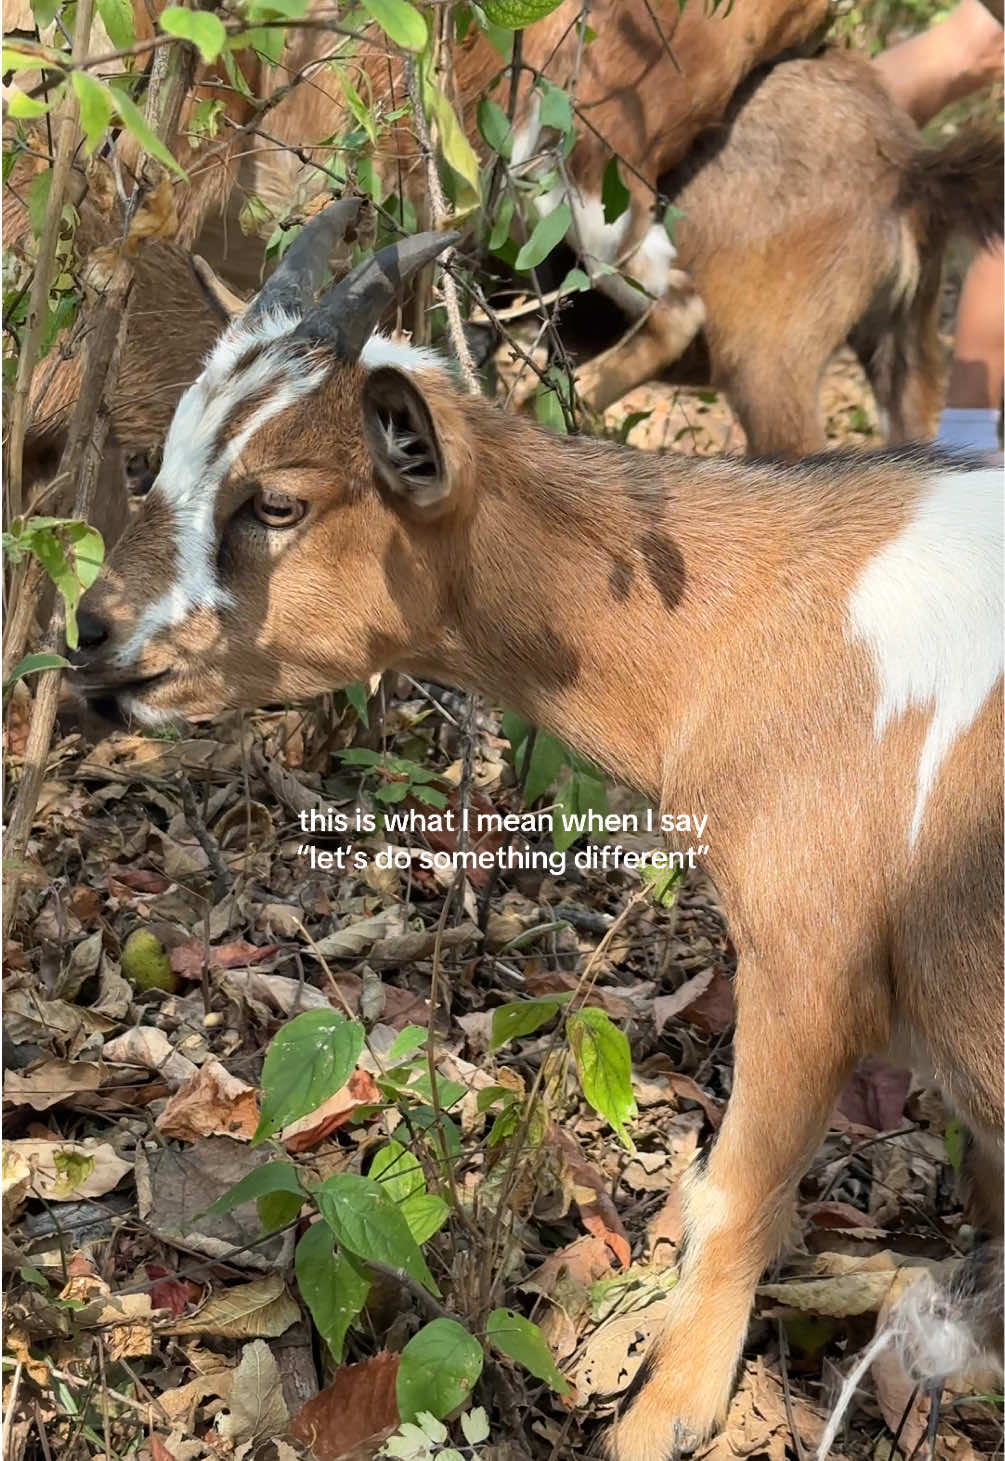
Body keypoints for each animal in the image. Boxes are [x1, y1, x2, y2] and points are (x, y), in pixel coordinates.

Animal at [68, 208, 1004, 1461]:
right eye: (165, 455)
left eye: (276, 503)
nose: (93, 631)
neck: (771, 609)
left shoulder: (814, 962)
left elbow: (736, 1197)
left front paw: (660, 1417)